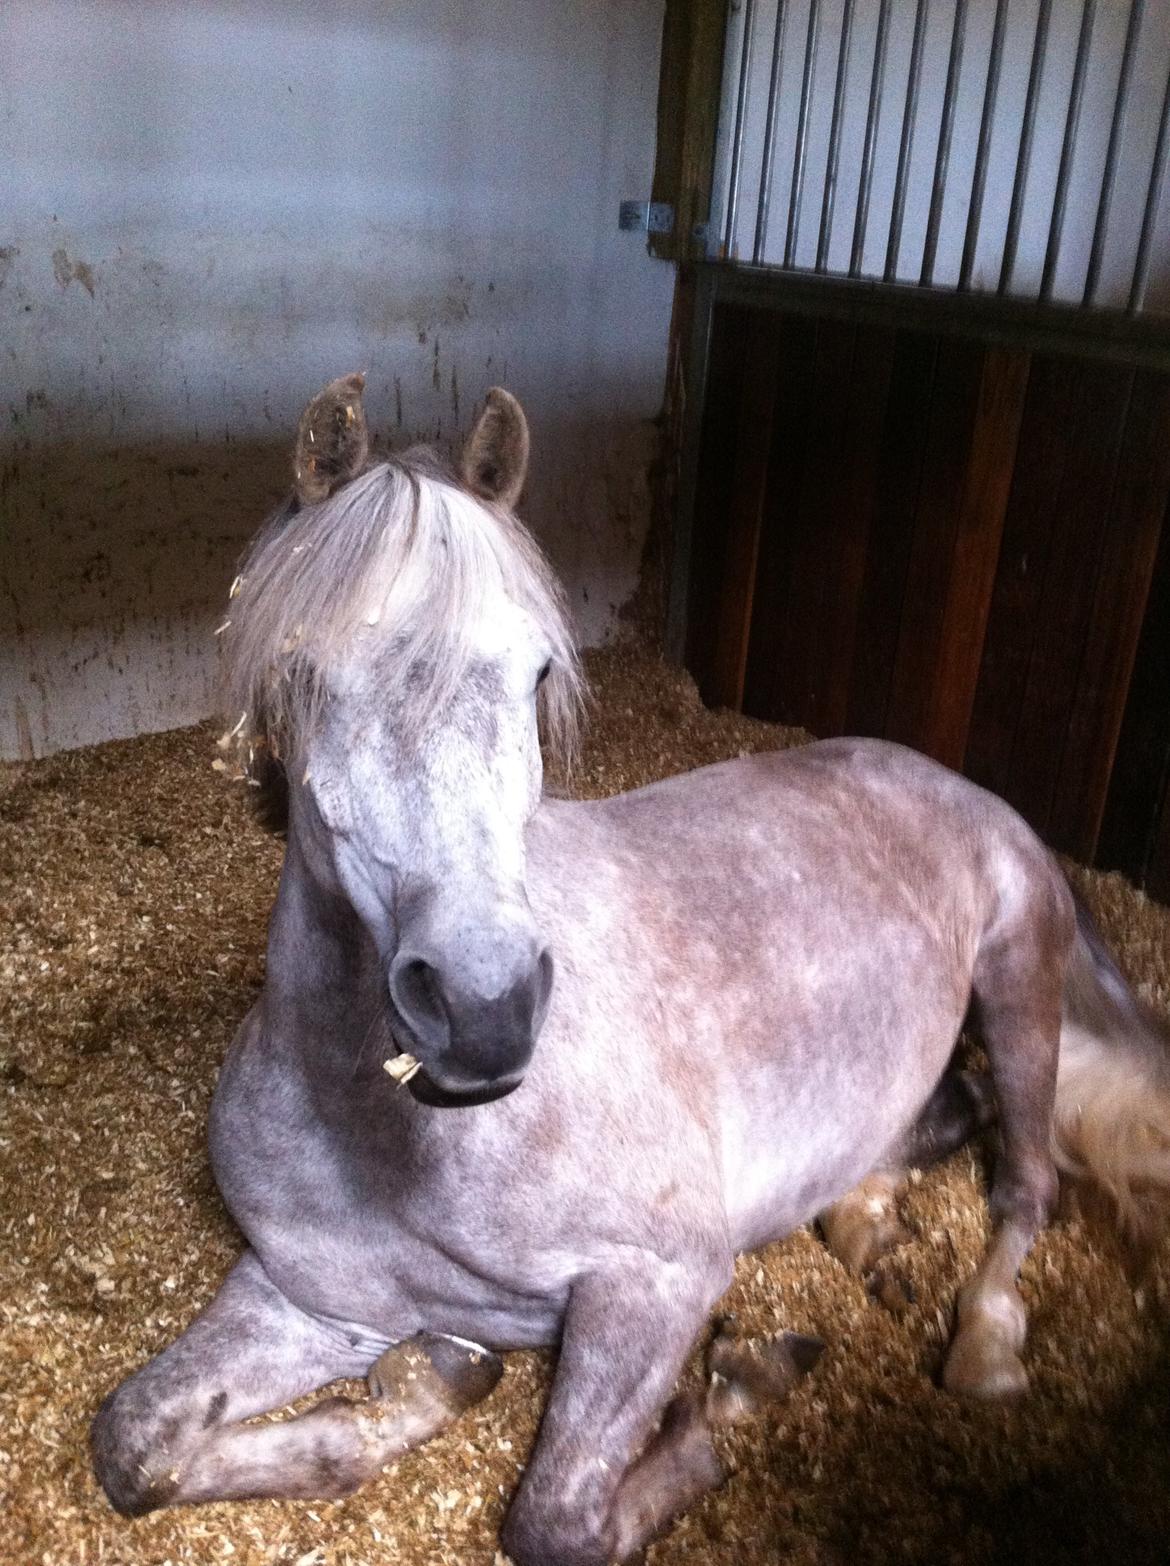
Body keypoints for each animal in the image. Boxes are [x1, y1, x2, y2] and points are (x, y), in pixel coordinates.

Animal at [91, 372, 1170, 1559]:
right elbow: (133, 1443)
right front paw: (422, 1392)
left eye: (537, 671)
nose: (483, 1009)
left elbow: (556, 1520)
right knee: (941, 1121)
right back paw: (871, 1224)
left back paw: (982, 1343)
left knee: (1028, 1181)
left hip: (1021, 982)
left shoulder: (656, 1284)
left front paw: (730, 1403)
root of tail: (954, 782)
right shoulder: (316, 1305)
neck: (384, 1135)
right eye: (306, 670)